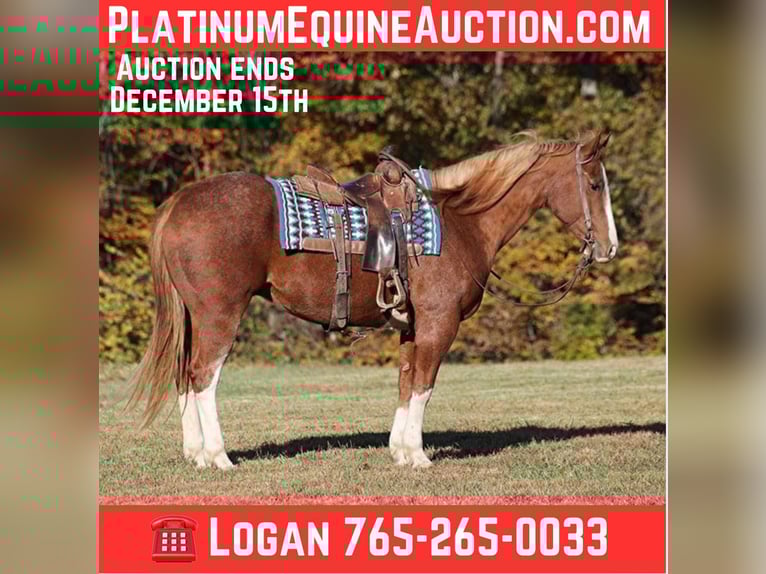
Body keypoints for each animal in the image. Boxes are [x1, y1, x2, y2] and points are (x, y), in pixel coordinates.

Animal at [127, 129, 619, 470]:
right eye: (595, 185)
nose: (610, 247)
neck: (462, 222)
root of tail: (179, 202)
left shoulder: (412, 327)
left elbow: (405, 383)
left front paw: (399, 451)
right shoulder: (439, 324)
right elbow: (424, 385)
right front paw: (418, 456)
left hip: (194, 317)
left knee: (184, 376)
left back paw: (196, 453)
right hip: (220, 314)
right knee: (203, 377)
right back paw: (217, 456)